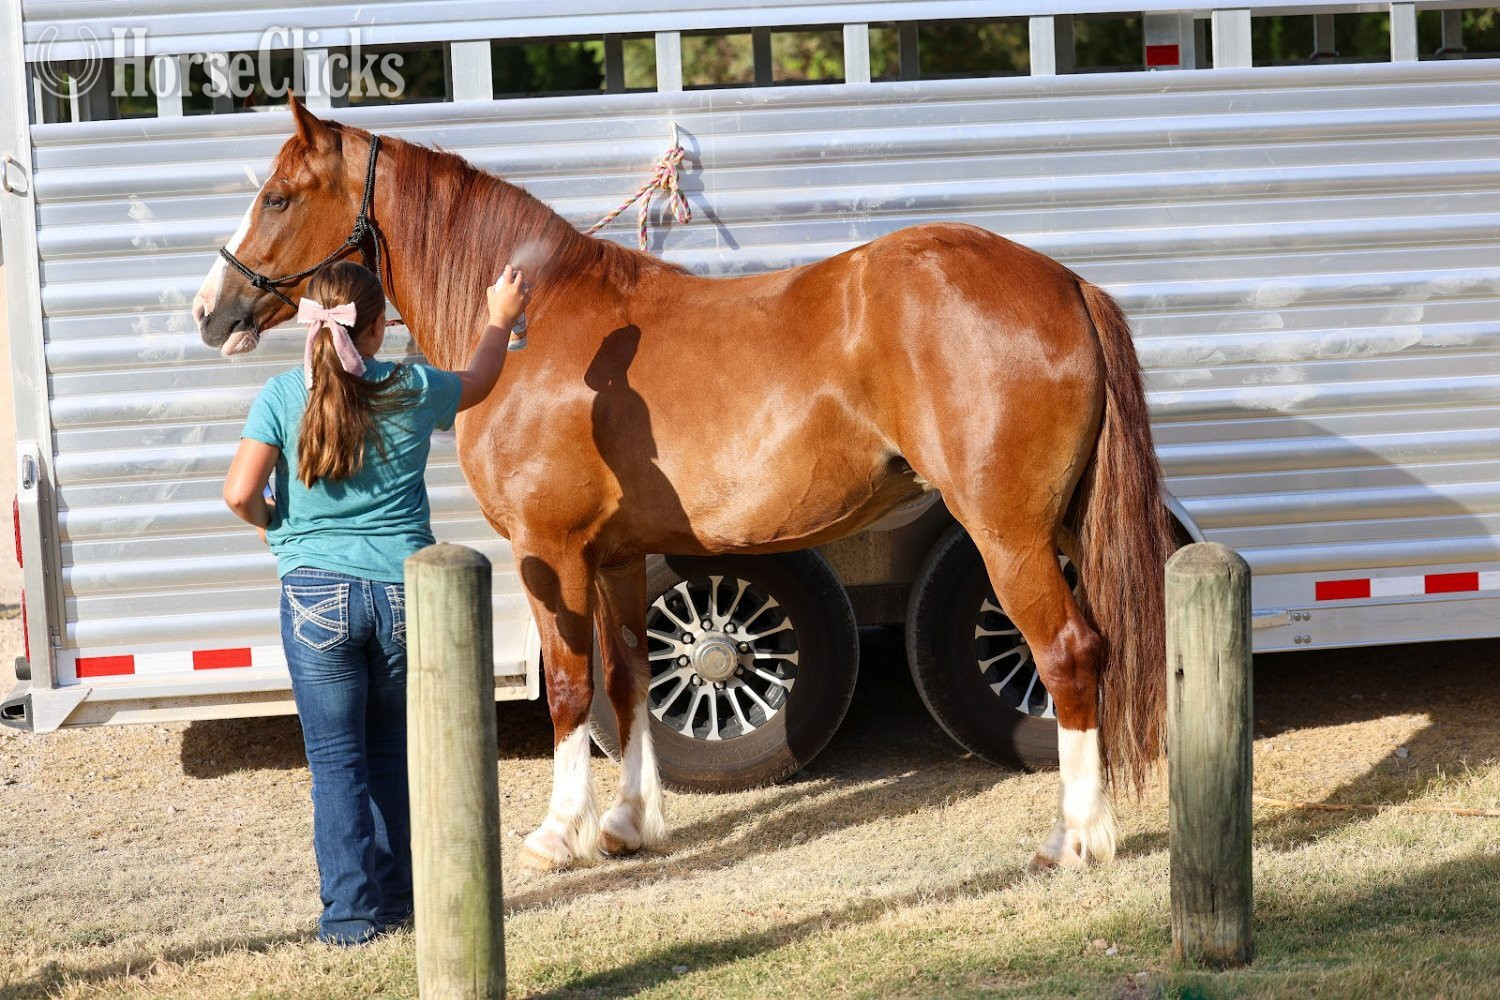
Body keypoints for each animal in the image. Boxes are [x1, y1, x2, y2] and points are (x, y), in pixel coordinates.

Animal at [195, 97, 1174, 871]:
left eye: (278, 196)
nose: (211, 311)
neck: (536, 331)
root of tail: (1064, 283)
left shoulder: (549, 553)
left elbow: (571, 685)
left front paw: (558, 835)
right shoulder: (618, 557)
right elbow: (630, 678)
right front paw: (629, 824)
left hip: (1007, 534)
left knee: (1068, 653)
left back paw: (1076, 839)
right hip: (1058, 528)